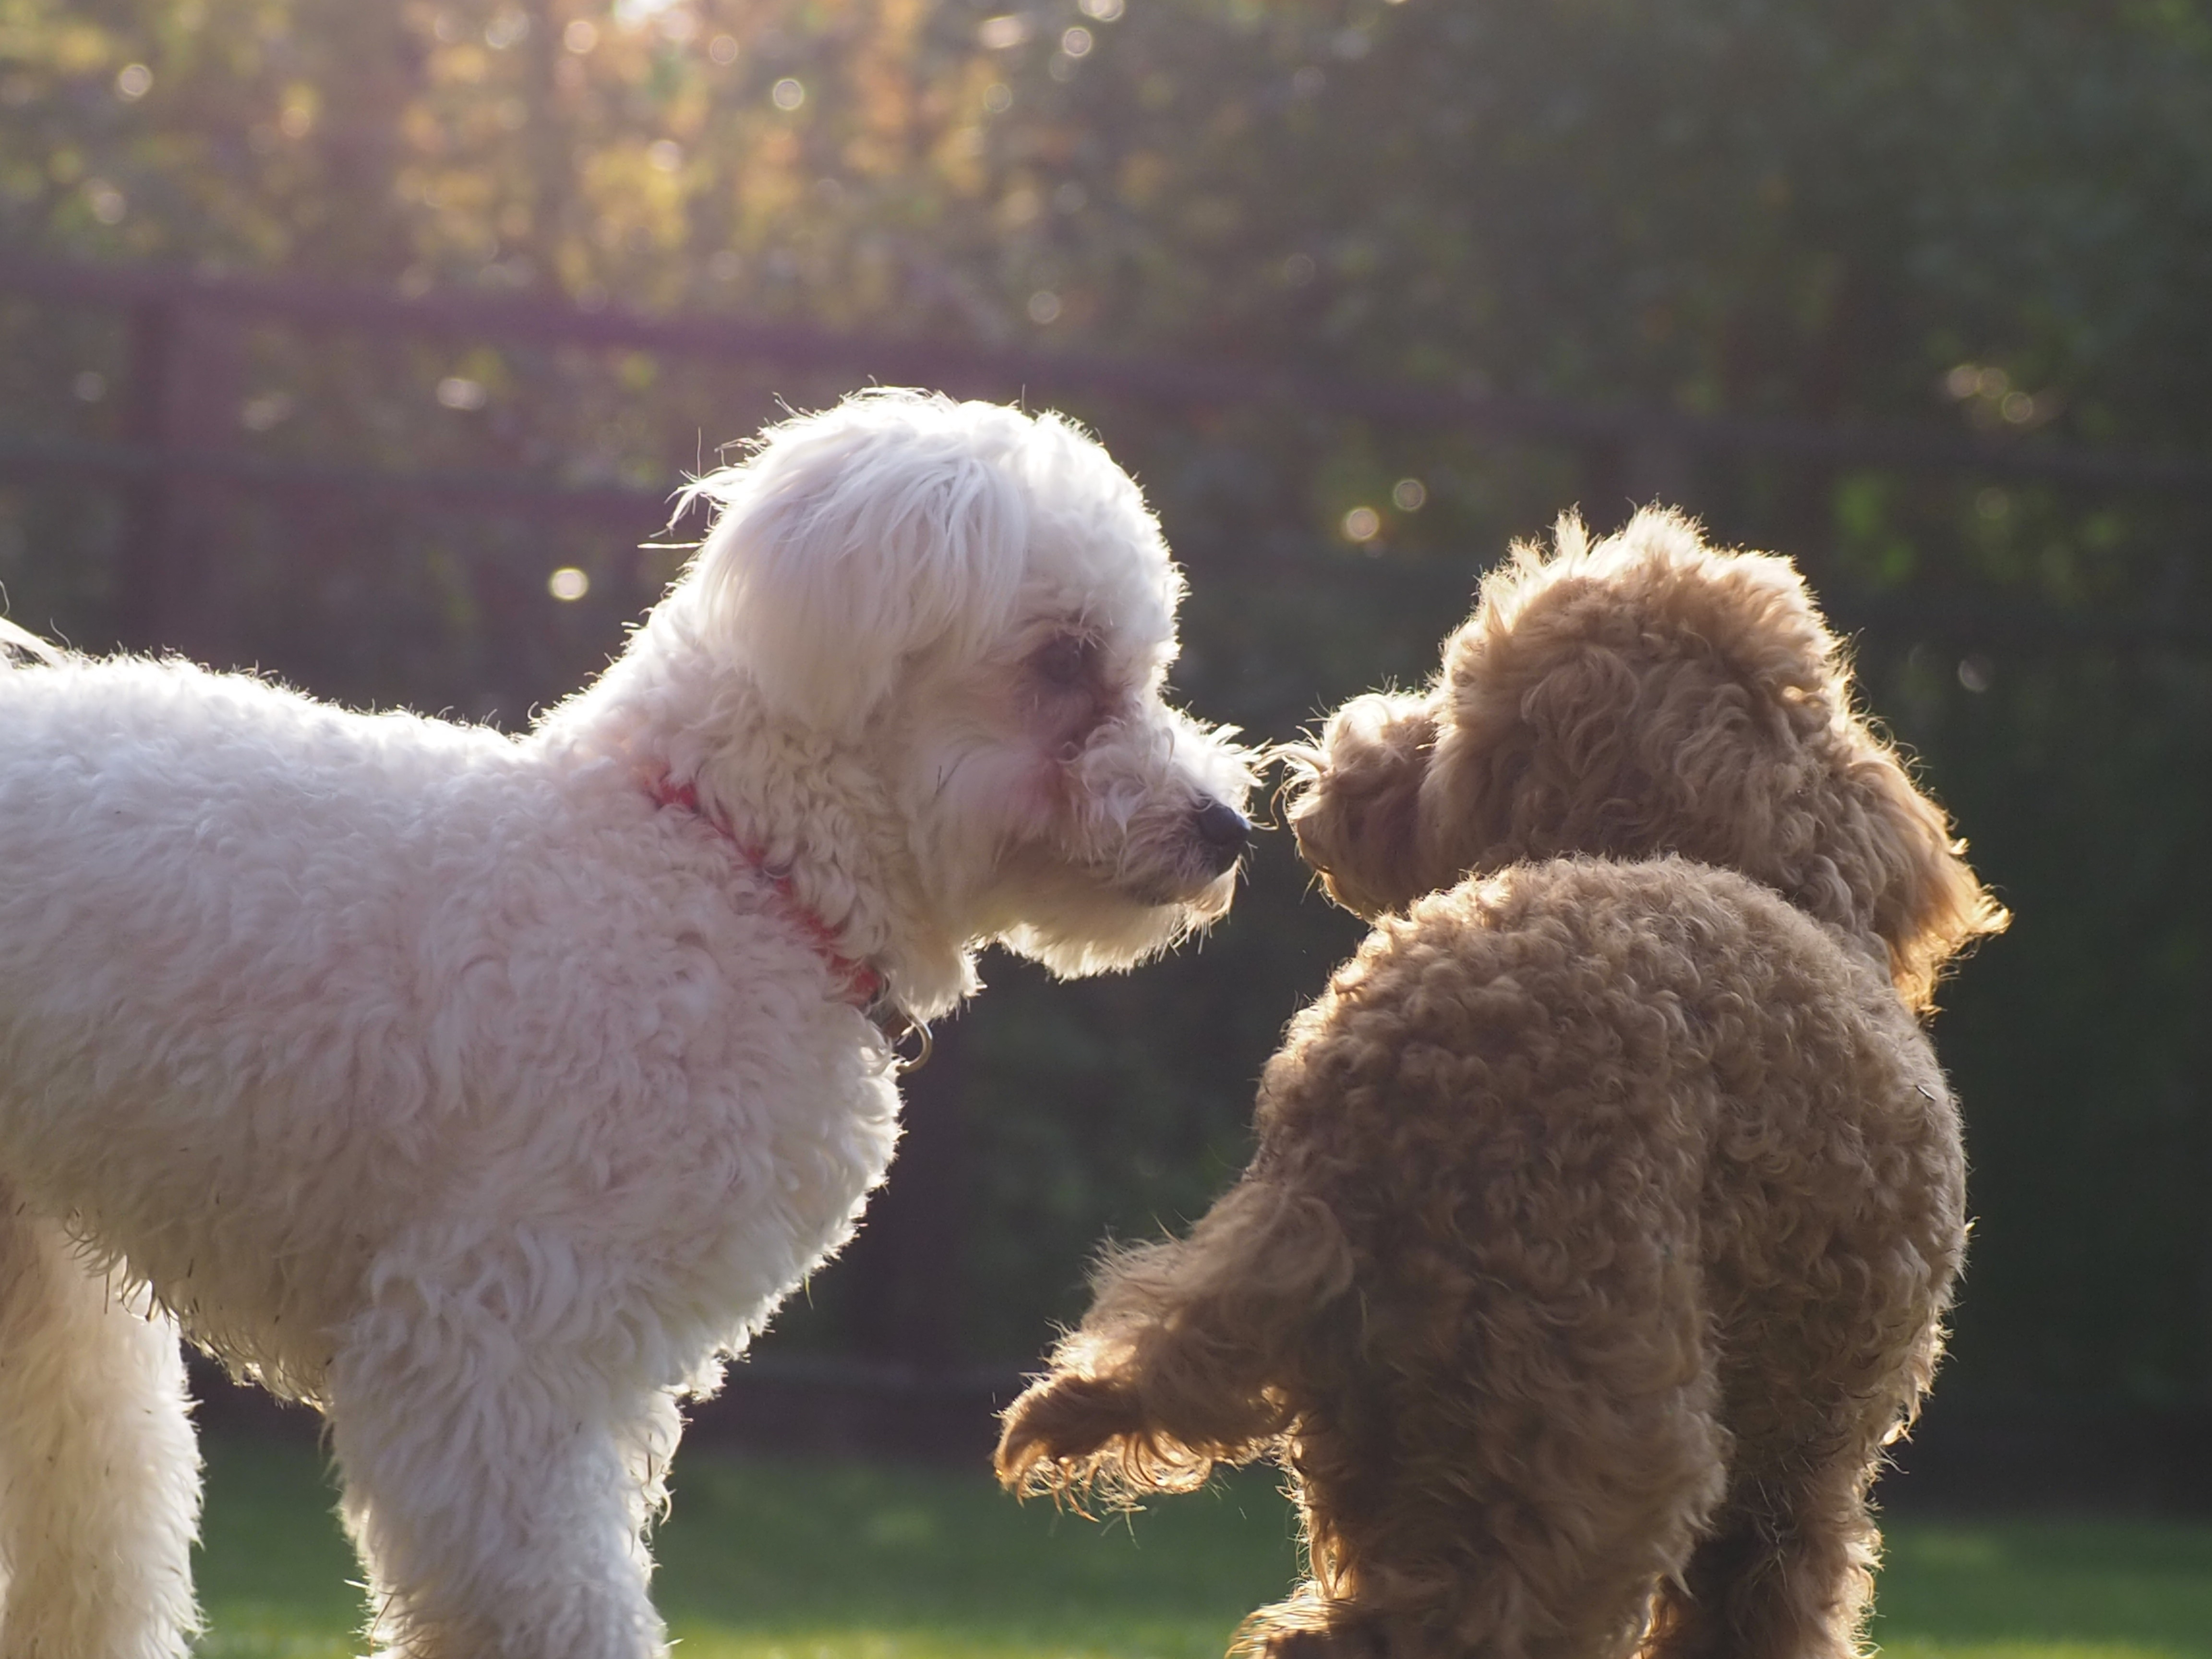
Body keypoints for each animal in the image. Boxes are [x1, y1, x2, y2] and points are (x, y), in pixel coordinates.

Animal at [1004, 511, 2008, 1659]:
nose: (1316, 776)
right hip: (1605, 1421)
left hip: (1390, 1415)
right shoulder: (1801, 1476)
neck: (1778, 874)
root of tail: (1386, 1077)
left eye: (1454, 727)